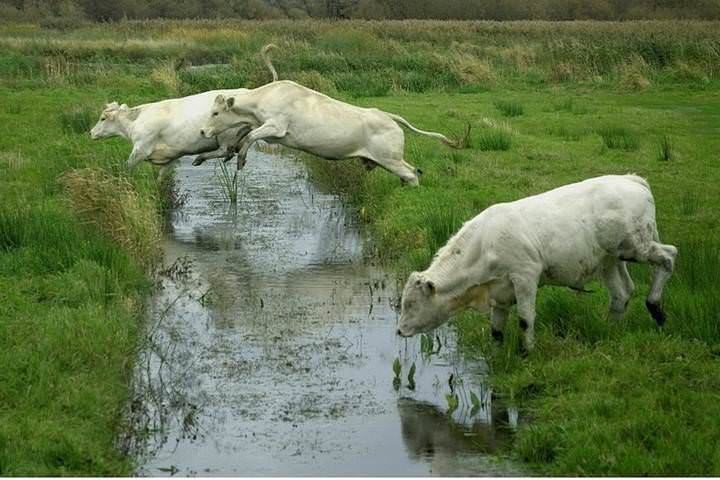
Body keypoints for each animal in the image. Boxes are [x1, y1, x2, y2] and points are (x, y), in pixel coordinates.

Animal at [90, 44, 279, 179]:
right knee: (231, 151)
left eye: (102, 118)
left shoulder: (141, 149)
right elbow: (160, 178)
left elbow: (126, 167)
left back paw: (200, 158)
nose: (90, 132)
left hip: (225, 133)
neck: (134, 122)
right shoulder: (169, 158)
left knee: (225, 150)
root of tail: (251, 91)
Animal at [199, 80, 464, 186]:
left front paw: (241, 159)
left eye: (215, 112)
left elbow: (250, 138)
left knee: (411, 173)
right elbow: (245, 134)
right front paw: (230, 152)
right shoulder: (265, 127)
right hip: (388, 159)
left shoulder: (276, 126)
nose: (203, 131)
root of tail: (388, 116)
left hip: (390, 159)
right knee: (412, 171)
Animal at [396, 175, 677, 353]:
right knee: (621, 293)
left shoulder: (525, 277)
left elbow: (525, 319)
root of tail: (630, 179)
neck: (484, 246)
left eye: (411, 303)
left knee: (669, 256)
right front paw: (496, 358)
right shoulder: (499, 292)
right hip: (610, 259)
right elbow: (496, 329)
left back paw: (656, 309)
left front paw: (526, 353)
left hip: (636, 246)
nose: (399, 331)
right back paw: (610, 330)